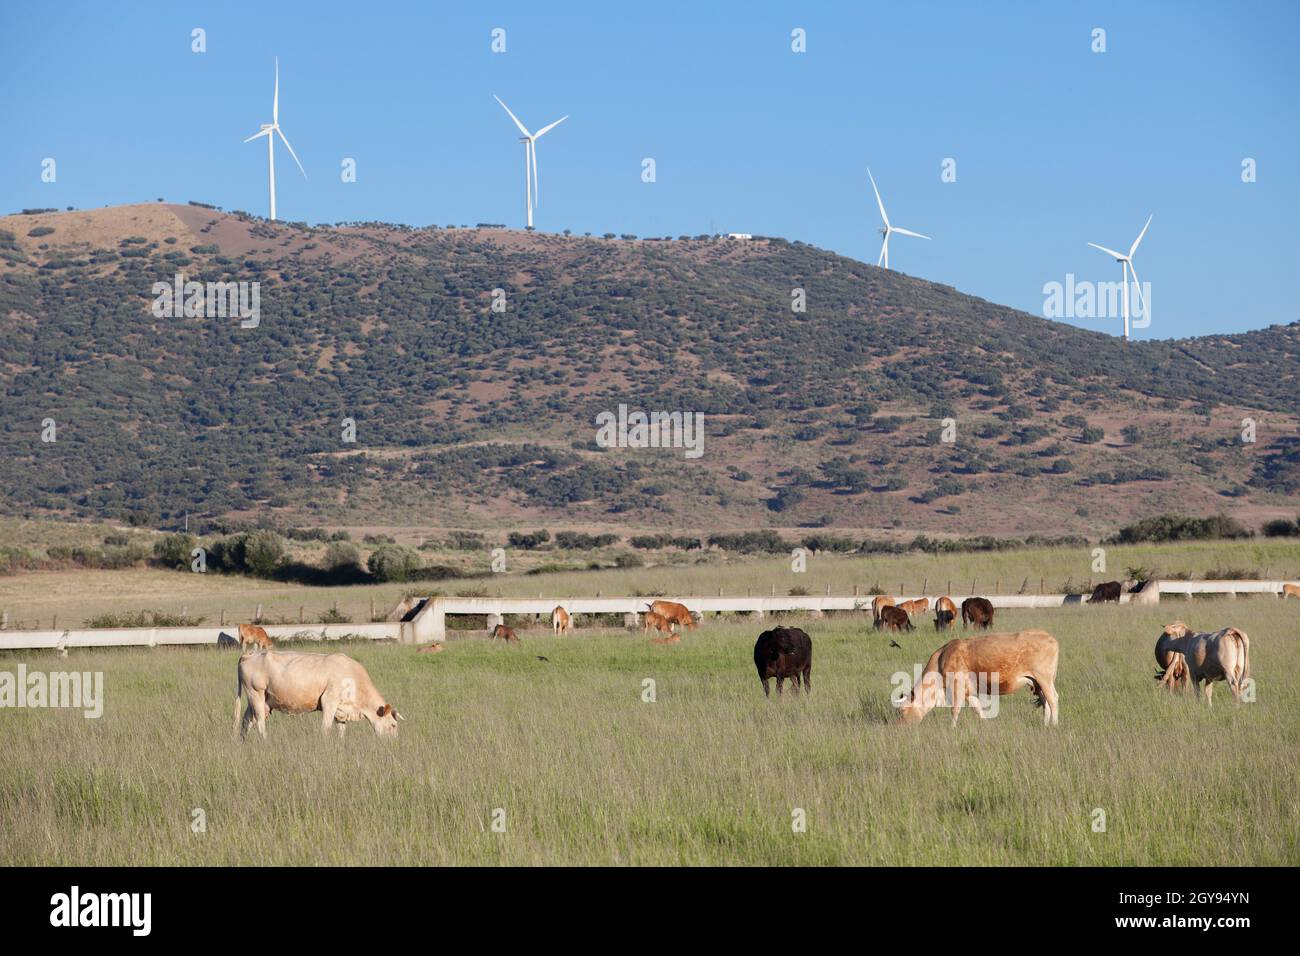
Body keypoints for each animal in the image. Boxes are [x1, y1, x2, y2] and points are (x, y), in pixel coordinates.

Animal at [233, 650, 403, 738]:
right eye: (393, 725)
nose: (392, 743)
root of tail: (250, 654)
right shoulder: (329, 701)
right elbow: (325, 728)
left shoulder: (341, 711)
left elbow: (341, 731)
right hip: (256, 694)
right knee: (260, 722)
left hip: (259, 700)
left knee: (247, 720)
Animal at [899, 632, 1060, 728]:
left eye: (902, 710)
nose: (900, 726)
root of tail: (1049, 637)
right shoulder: (969, 692)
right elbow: (978, 709)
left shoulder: (957, 688)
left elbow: (955, 710)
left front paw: (952, 728)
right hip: (1037, 684)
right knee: (1046, 703)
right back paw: (1045, 724)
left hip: (1044, 680)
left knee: (1053, 699)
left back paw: (1054, 724)